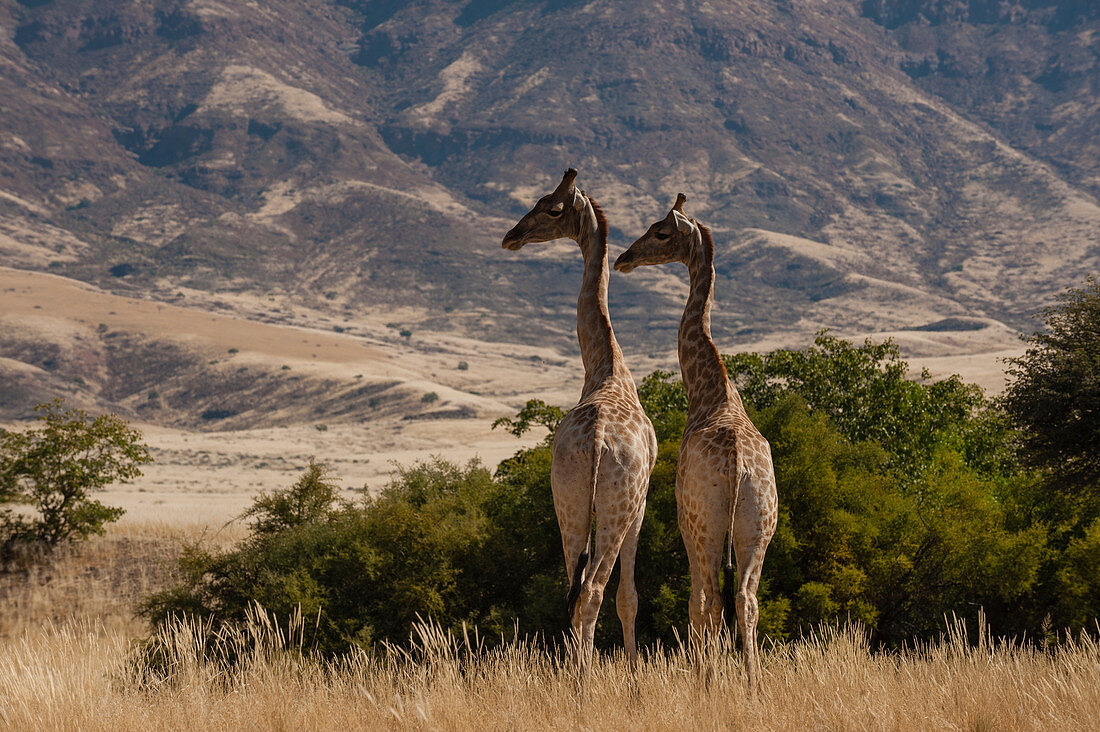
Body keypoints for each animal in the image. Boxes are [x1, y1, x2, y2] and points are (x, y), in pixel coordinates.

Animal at [503, 168, 655, 669]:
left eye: (551, 208)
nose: (511, 236)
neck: (606, 366)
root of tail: (597, 442)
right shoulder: (641, 504)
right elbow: (629, 597)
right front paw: (635, 675)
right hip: (615, 504)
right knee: (592, 591)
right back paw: (587, 679)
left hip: (565, 500)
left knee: (572, 593)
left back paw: (575, 676)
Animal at [616, 191, 778, 686]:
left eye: (660, 232)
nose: (624, 258)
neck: (710, 392)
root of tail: (739, 464)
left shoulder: (686, 524)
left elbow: (697, 603)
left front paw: (704, 673)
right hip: (758, 528)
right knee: (746, 599)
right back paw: (753, 682)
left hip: (704, 526)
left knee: (708, 598)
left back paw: (711, 677)